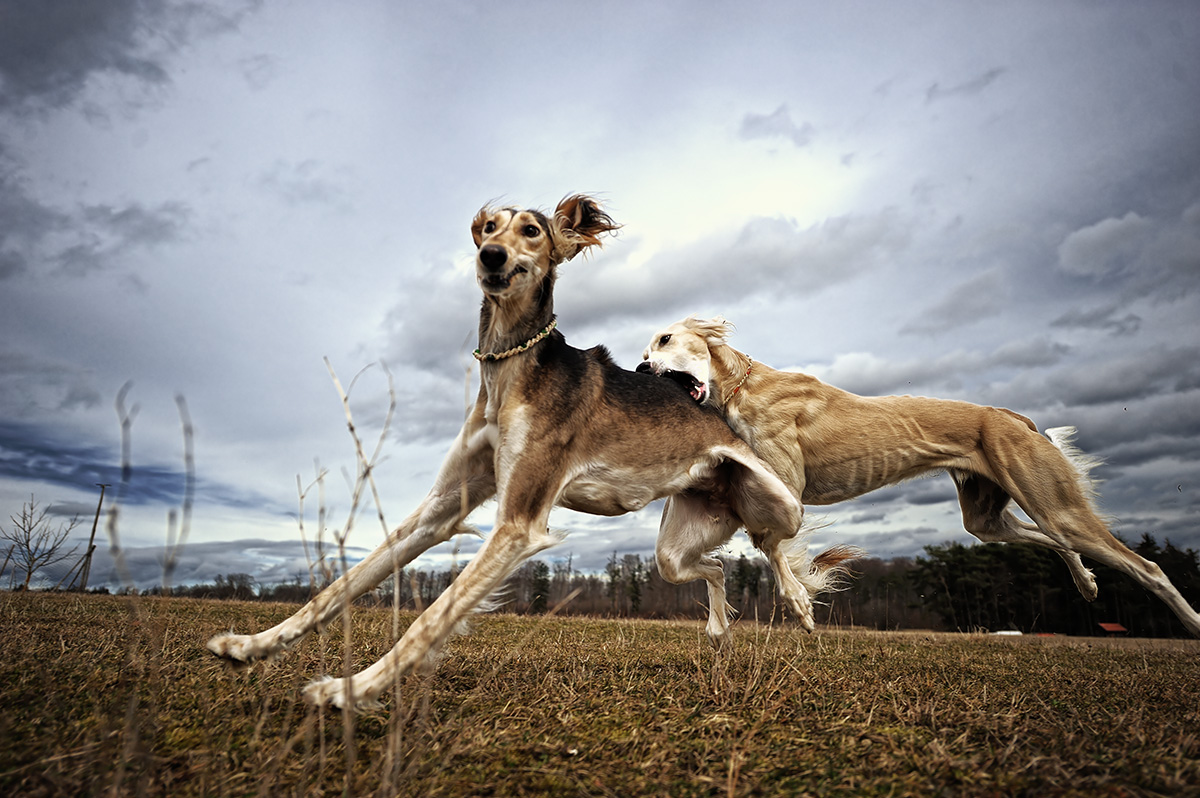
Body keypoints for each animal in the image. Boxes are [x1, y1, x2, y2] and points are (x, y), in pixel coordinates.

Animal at [643, 314, 1200, 638]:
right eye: (646, 352)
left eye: (665, 339)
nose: (642, 369)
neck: (741, 387)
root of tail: (1009, 417)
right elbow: (768, 547)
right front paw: (801, 596)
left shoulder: (788, 492)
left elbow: (774, 549)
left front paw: (801, 602)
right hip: (990, 518)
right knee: (1052, 539)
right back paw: (1085, 581)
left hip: (1054, 504)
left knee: (1148, 568)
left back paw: (1191, 622)